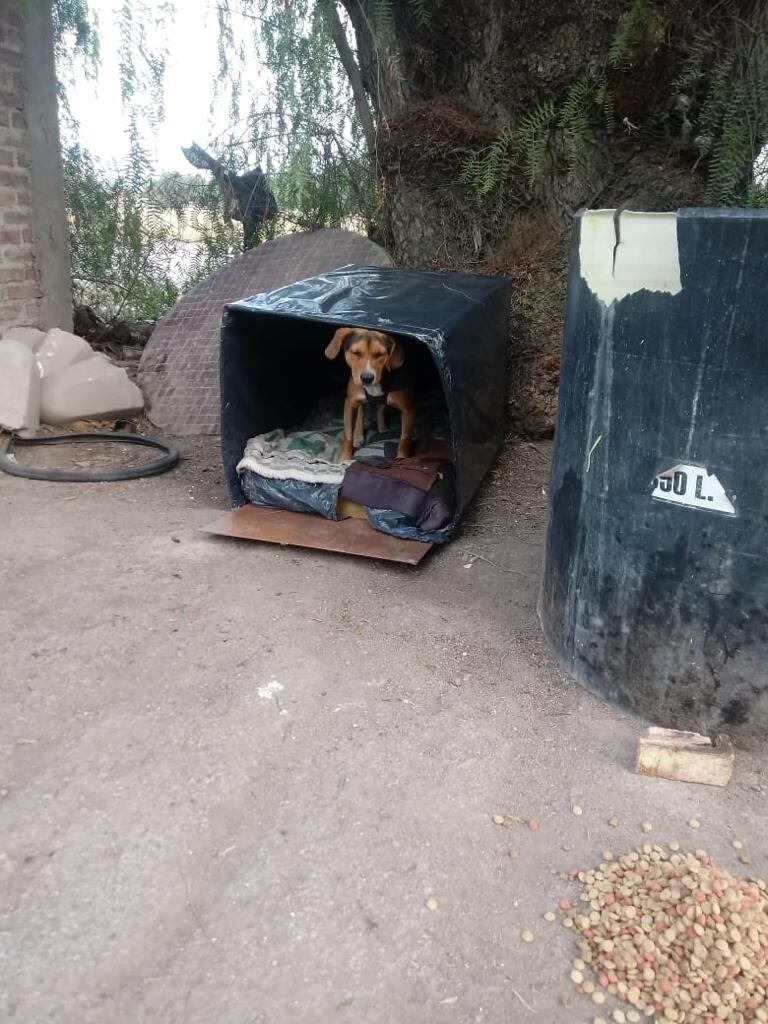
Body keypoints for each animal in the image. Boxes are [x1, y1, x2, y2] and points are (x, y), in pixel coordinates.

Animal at [325, 325, 415, 462]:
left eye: (380, 355)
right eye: (356, 353)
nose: (367, 378)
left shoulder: (408, 409)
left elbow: (404, 439)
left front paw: (401, 458)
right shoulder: (350, 403)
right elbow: (348, 435)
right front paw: (344, 458)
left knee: (380, 408)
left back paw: (382, 428)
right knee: (361, 410)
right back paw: (358, 435)